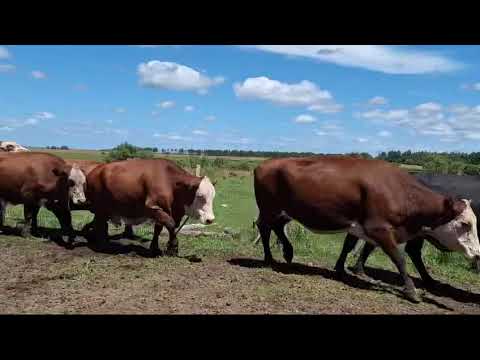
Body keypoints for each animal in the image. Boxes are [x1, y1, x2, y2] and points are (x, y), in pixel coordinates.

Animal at [86, 158, 216, 256]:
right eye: (200, 196)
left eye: (213, 196)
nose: (210, 219)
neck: (170, 182)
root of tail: (95, 170)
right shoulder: (152, 207)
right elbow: (171, 224)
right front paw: (173, 247)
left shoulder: (164, 210)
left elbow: (159, 228)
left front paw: (155, 248)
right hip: (100, 207)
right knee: (99, 223)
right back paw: (102, 244)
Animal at [253, 156, 478, 302]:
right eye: (465, 224)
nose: (477, 253)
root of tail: (264, 164)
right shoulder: (379, 229)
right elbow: (399, 259)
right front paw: (411, 291)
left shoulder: (362, 227)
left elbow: (352, 245)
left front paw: (342, 270)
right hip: (268, 209)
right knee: (264, 228)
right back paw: (269, 259)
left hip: (283, 211)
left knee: (277, 227)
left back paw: (288, 253)